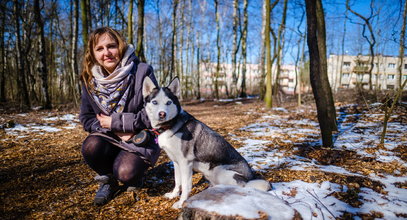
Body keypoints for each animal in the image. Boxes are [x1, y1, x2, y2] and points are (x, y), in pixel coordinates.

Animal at [143, 78, 270, 209]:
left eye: (168, 102)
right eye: (154, 102)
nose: (162, 114)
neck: (170, 125)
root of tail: (250, 178)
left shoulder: (185, 163)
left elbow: (186, 186)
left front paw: (181, 202)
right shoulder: (176, 162)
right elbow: (178, 182)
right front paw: (174, 195)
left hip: (221, 172)